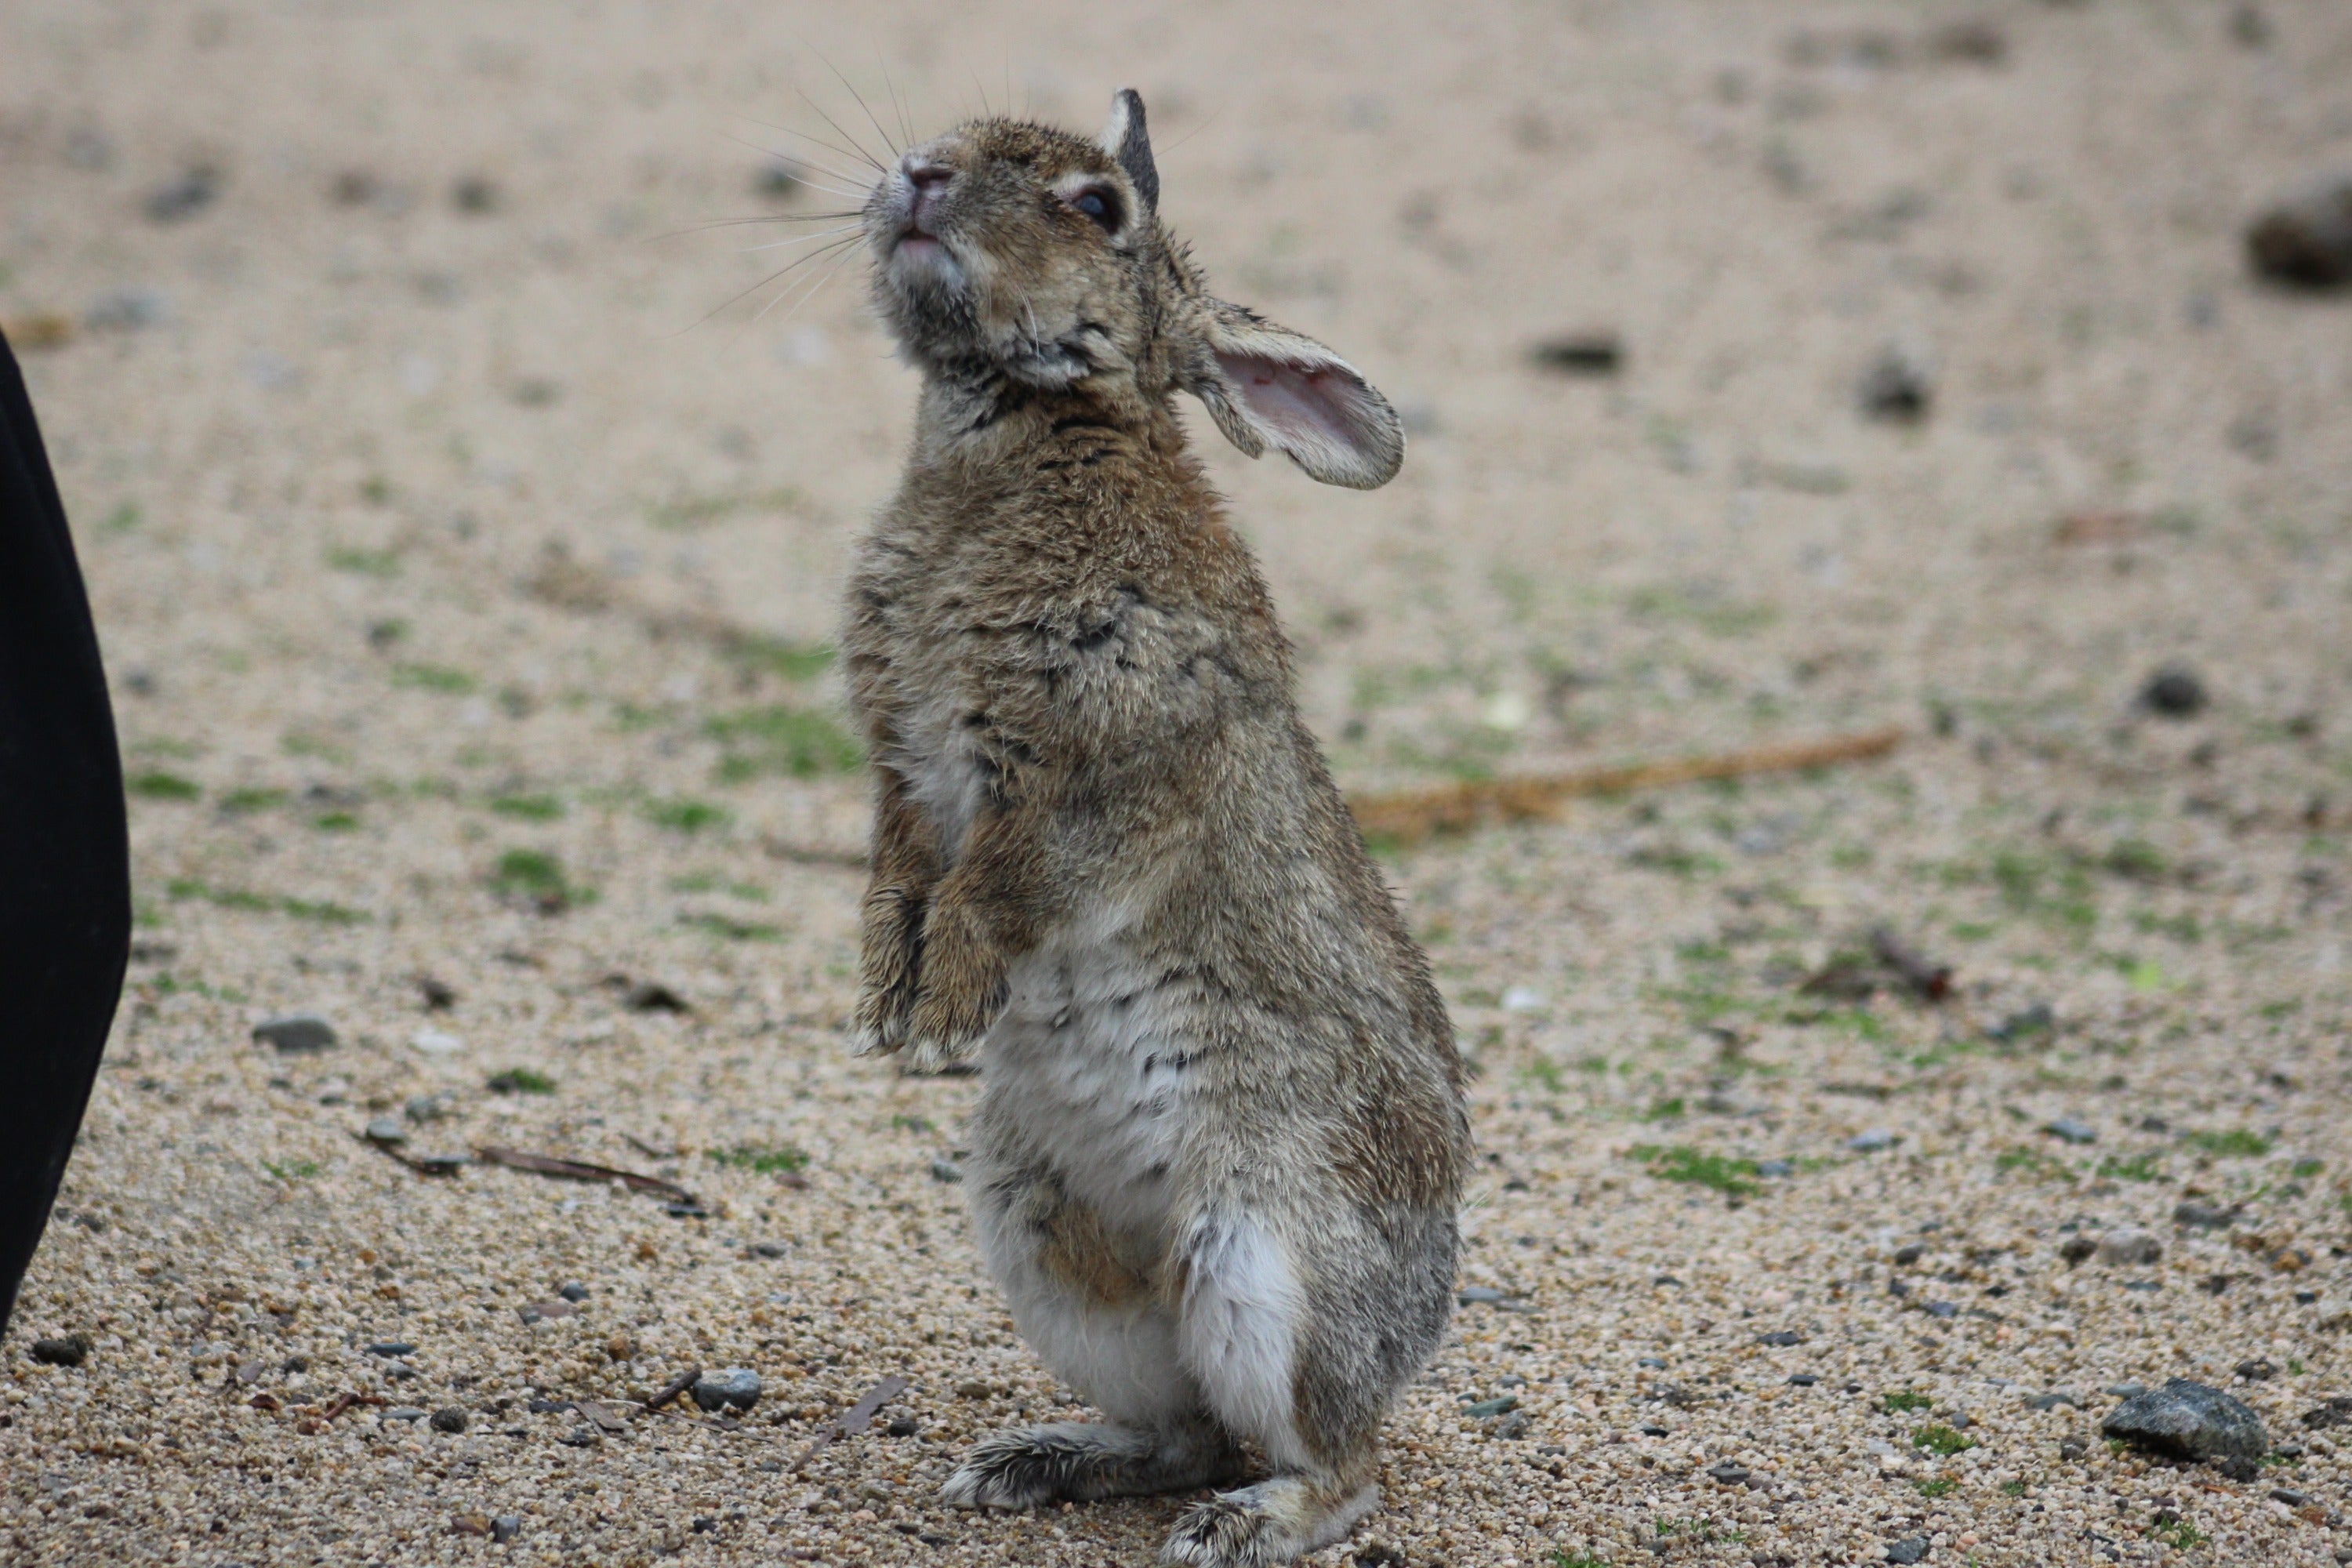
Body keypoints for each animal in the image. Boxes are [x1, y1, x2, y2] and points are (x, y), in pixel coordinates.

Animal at [840, 89, 1469, 1568]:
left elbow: (1005, 880)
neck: (1021, 424)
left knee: (1337, 1465)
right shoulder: (900, 759)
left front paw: (940, 1009)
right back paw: (1032, 1463)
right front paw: (886, 996)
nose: (920, 176)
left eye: (1095, 208)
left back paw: (1242, 1526)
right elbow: (900, 862)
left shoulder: (1105, 769)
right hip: (1043, 1242)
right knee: (1184, 1430)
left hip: (1262, 1262)